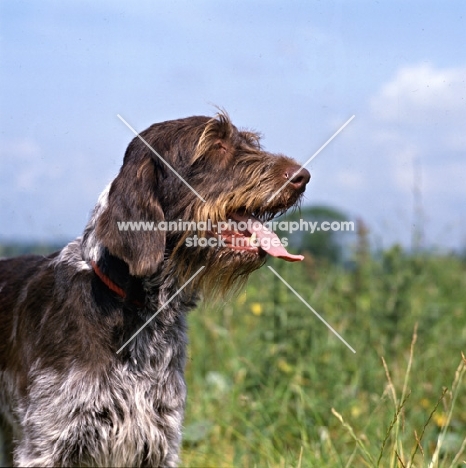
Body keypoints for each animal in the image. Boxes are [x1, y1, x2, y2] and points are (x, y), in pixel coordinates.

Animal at [0, 111, 310, 466]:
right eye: (215, 145)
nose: (302, 176)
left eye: (248, 142)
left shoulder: (160, 438)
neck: (136, 309)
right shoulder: (48, 443)